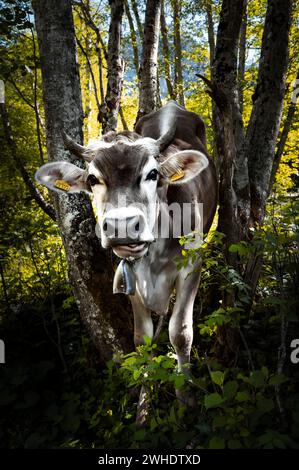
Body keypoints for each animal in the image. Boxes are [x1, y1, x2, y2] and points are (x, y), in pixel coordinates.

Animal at [35, 100, 219, 412]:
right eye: (93, 178)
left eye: (153, 174)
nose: (122, 226)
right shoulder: (128, 274)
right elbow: (141, 338)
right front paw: (145, 394)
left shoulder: (192, 266)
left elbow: (180, 332)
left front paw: (186, 396)